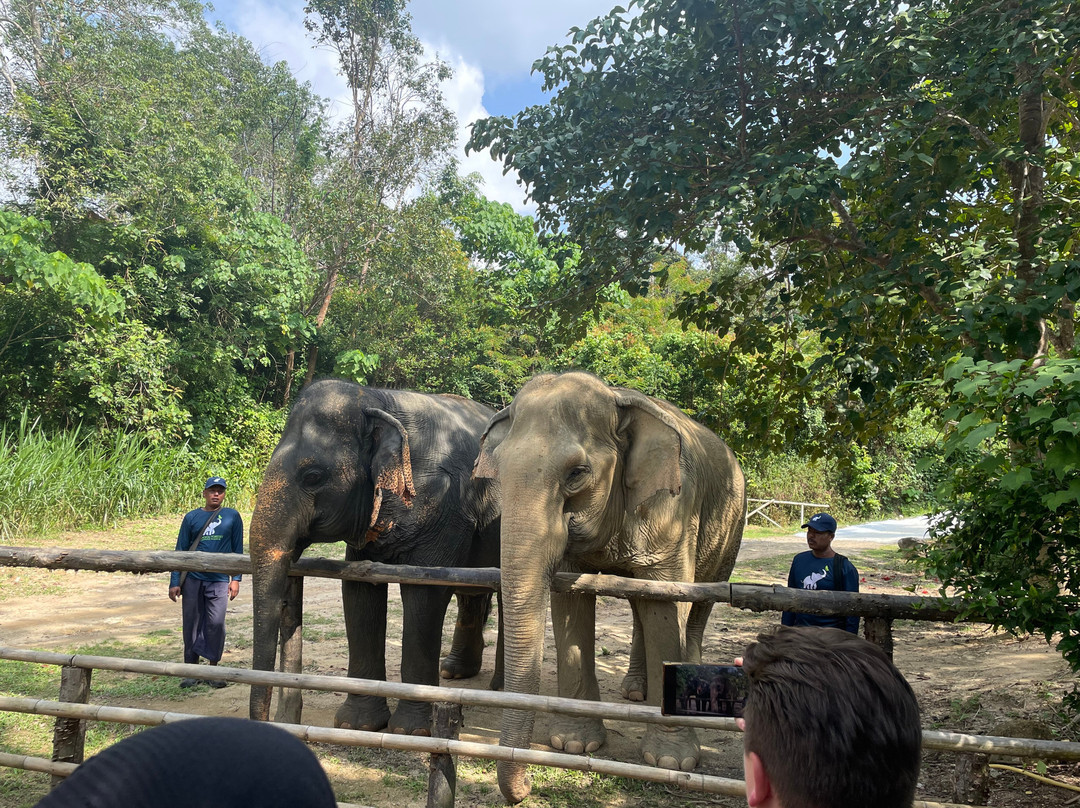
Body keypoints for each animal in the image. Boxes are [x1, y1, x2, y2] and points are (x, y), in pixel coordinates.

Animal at [250, 378, 503, 730]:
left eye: (313, 477)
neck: (377, 399)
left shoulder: (446, 507)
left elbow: (424, 594)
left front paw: (410, 729)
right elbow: (359, 592)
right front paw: (356, 725)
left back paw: (500, 687)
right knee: (472, 592)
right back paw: (454, 672)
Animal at [477, 371, 747, 803]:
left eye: (576, 473)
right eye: (499, 471)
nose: (528, 785)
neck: (616, 399)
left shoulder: (674, 508)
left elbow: (668, 605)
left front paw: (672, 761)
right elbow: (571, 602)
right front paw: (573, 745)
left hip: (730, 529)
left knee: (698, 605)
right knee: (640, 603)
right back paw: (635, 692)